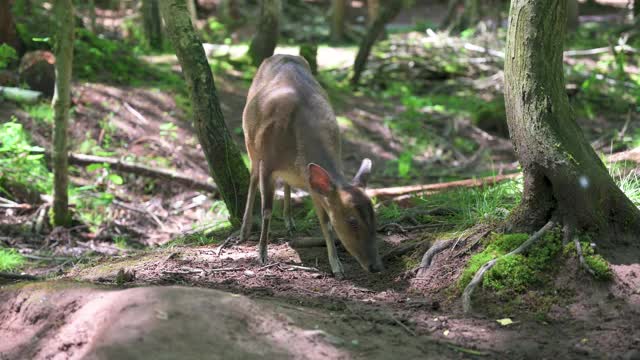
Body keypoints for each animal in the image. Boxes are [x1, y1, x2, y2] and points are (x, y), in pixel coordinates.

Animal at [239, 54, 380, 278]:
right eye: (352, 221)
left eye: (374, 216)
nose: (376, 266)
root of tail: (280, 54)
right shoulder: (268, 163)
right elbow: (267, 210)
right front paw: (261, 253)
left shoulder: (313, 184)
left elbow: (326, 223)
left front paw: (336, 266)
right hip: (251, 145)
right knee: (252, 179)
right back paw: (244, 230)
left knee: (286, 183)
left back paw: (289, 221)